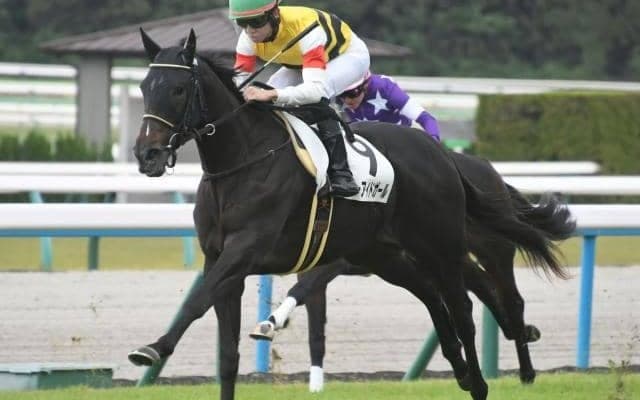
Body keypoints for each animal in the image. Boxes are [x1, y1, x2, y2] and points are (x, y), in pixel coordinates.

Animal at [256, 152, 575, 391]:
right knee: (483, 286)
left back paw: (527, 370)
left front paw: (271, 322)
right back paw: (521, 332)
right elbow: (314, 323)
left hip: (490, 248)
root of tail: (485, 167)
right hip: (450, 256)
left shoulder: (344, 258)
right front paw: (275, 325)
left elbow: (304, 288)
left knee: (510, 298)